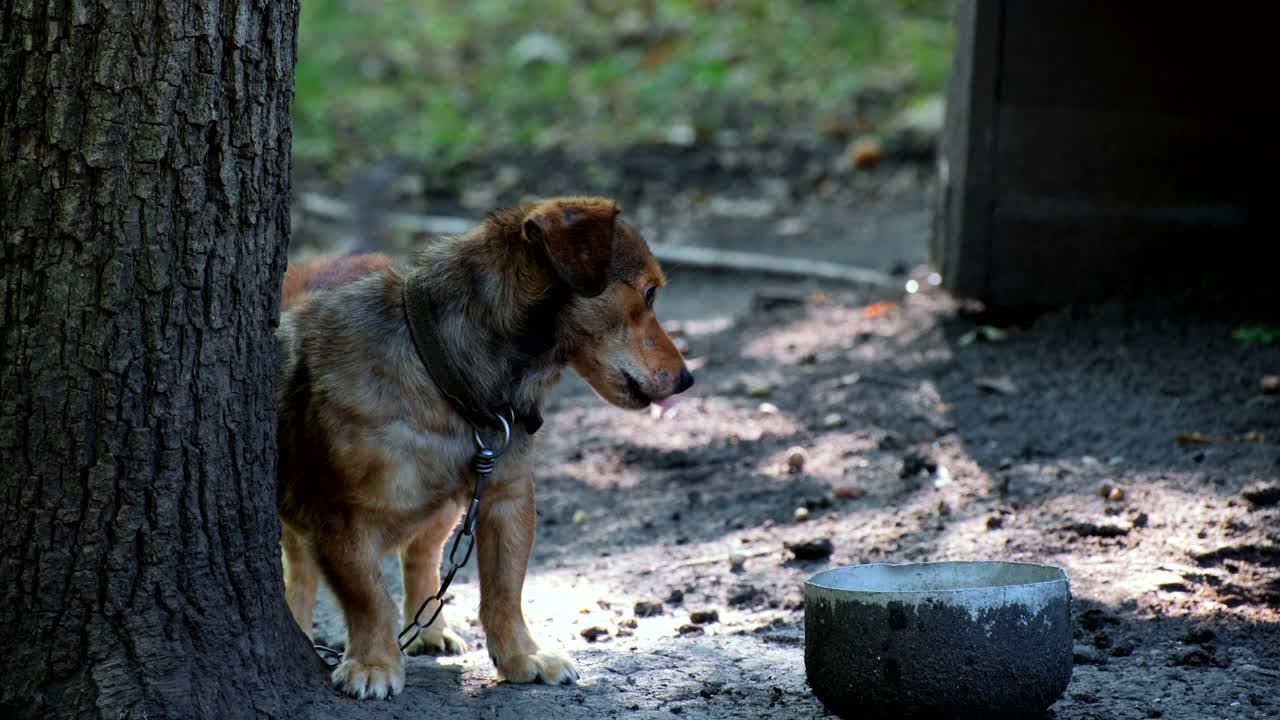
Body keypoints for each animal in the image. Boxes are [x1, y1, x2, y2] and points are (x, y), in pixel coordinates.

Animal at [271, 194, 691, 696]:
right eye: (648, 294)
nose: (688, 380)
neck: (444, 372)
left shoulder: (505, 497)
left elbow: (504, 591)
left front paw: (522, 656)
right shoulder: (337, 516)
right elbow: (369, 598)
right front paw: (373, 663)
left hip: (449, 506)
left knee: (423, 558)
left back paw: (429, 630)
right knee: (300, 570)